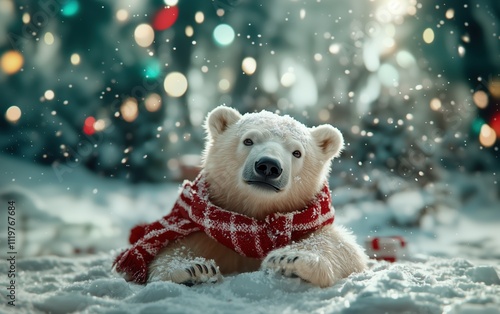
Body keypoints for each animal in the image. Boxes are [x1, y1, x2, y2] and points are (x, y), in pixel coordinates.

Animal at [117, 106, 368, 288]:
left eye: (297, 152)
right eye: (248, 140)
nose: (268, 166)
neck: (252, 219)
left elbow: (342, 248)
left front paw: (288, 260)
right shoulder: (206, 235)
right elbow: (173, 250)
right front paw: (193, 269)